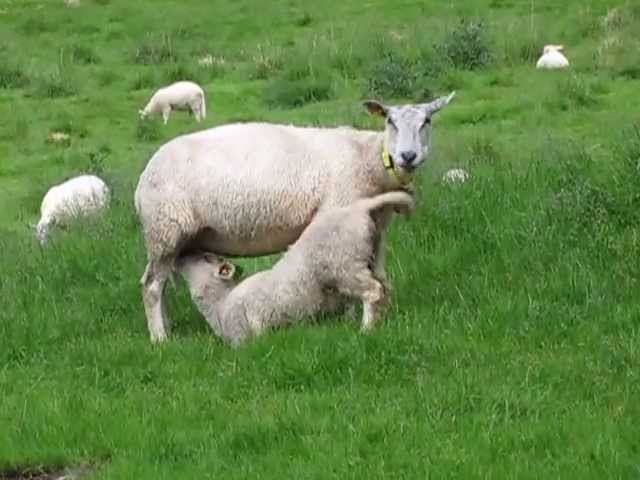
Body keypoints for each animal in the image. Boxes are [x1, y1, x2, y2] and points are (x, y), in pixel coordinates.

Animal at [176, 191, 415, 346]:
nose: (181, 254)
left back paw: (365, 330)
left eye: (207, 257)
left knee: (372, 292)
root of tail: (359, 208)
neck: (220, 305)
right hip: (373, 257)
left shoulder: (244, 336)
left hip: (346, 266)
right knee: (385, 288)